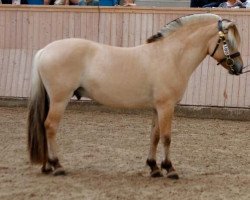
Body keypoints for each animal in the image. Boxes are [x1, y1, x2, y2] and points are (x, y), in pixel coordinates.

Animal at [27, 13, 244, 178]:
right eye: (228, 41)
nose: (240, 67)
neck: (171, 56)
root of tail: (45, 50)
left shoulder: (157, 107)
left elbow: (154, 136)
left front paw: (154, 168)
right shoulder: (167, 106)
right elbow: (166, 137)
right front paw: (170, 169)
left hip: (52, 100)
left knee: (44, 126)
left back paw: (47, 166)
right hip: (59, 99)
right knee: (50, 126)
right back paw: (57, 166)